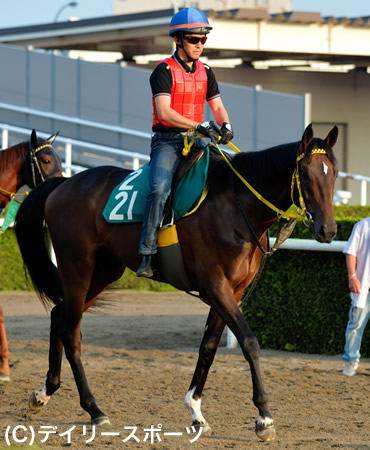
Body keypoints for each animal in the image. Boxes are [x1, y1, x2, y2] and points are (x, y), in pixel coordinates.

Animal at [13, 125, 338, 442]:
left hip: (104, 271)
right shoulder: (215, 286)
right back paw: (94, 409)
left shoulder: (233, 291)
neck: (235, 207)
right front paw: (264, 417)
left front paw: (196, 412)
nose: (328, 230)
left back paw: (45, 392)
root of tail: (63, 184)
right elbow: (249, 342)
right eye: (305, 173)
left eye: (333, 173)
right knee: (71, 333)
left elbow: (208, 347)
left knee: (59, 314)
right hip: (78, 268)